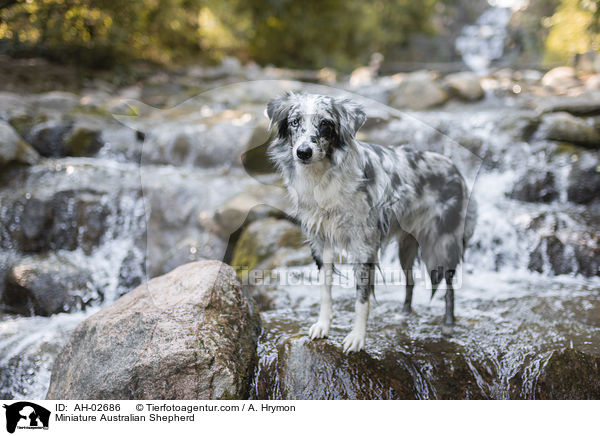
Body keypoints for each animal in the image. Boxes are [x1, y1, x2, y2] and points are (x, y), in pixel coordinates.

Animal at [268, 93, 478, 354]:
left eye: (325, 123)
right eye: (295, 122)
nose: (303, 152)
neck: (323, 178)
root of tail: (454, 168)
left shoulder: (363, 246)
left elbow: (362, 299)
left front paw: (357, 338)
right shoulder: (321, 242)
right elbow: (326, 291)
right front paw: (323, 325)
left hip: (442, 244)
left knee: (448, 286)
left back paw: (448, 324)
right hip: (406, 247)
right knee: (410, 280)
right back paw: (404, 314)